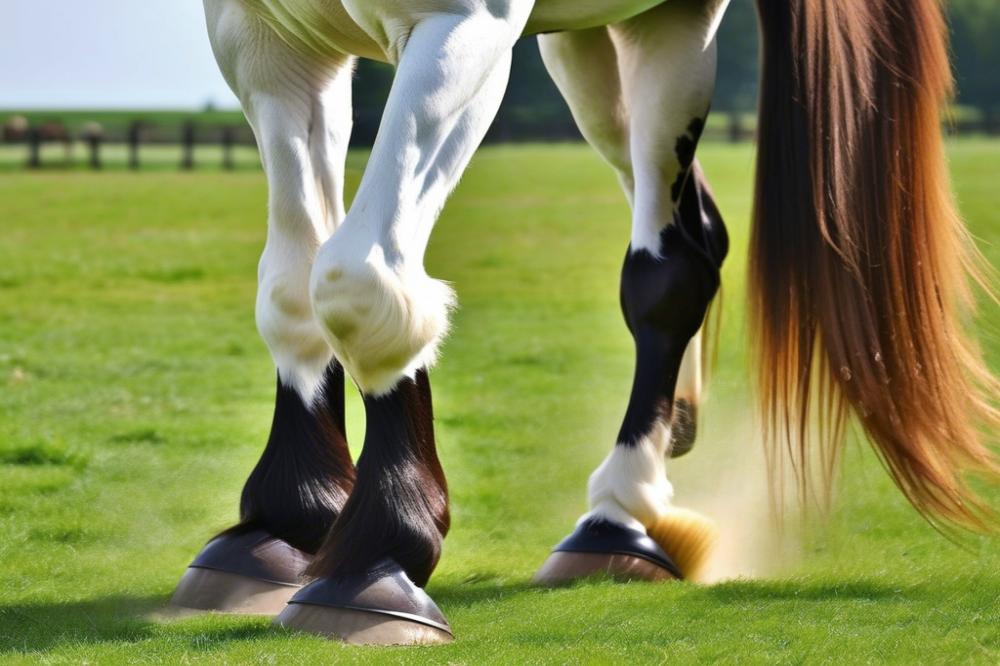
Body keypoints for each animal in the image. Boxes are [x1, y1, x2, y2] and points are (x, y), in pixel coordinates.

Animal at [168, 0, 996, 644]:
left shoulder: (462, 26)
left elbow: (362, 282)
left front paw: (379, 549)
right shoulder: (262, 43)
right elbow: (292, 296)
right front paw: (289, 514)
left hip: (670, 28)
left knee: (671, 268)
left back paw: (619, 515)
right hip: (586, 49)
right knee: (695, 227)